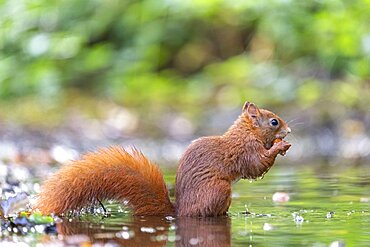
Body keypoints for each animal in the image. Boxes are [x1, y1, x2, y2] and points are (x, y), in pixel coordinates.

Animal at [36, 101, 294, 217]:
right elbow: (256, 166)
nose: (289, 131)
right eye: (274, 122)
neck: (246, 133)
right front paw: (280, 146)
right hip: (219, 190)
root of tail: (180, 212)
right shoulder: (244, 151)